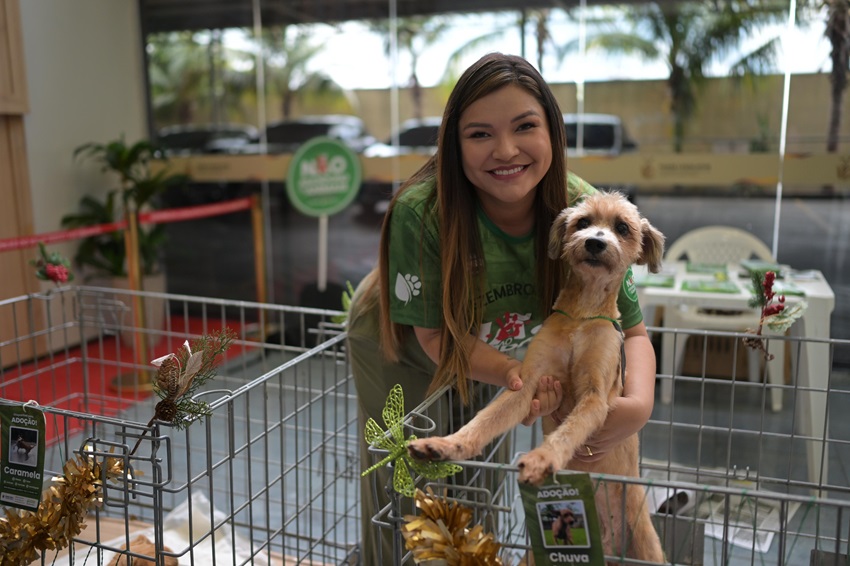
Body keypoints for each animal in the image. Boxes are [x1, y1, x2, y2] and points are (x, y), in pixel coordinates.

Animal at [408, 192, 664, 566]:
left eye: (622, 228)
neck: (583, 314)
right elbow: (482, 422)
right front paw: (446, 444)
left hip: (647, 545)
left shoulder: (594, 396)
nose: (594, 242)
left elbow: (566, 433)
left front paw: (542, 460)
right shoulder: (527, 383)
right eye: (583, 222)